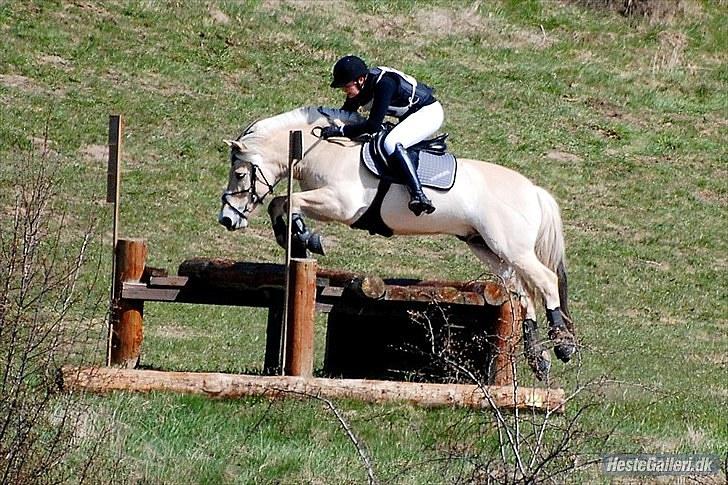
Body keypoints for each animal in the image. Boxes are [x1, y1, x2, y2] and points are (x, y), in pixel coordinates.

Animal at [216, 106, 576, 378]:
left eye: (239, 174)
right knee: (522, 293)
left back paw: (563, 344)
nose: (227, 219)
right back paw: (538, 359)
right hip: (487, 247)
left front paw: (307, 237)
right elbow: (281, 203)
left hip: (510, 247)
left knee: (545, 281)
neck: (324, 151)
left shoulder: (341, 204)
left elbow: (286, 201)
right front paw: (295, 235)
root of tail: (534, 191)